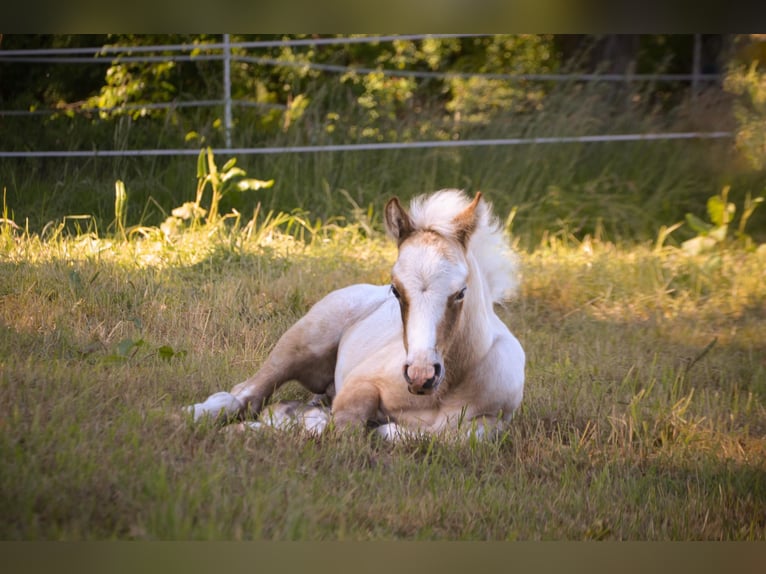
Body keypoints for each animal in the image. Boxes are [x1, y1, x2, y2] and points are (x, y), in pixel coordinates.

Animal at [185, 189, 525, 440]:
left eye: (461, 292)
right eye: (396, 290)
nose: (421, 375)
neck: (442, 391)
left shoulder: (493, 421)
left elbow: (420, 435)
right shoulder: (359, 385)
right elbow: (344, 426)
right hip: (299, 343)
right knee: (242, 394)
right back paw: (196, 415)